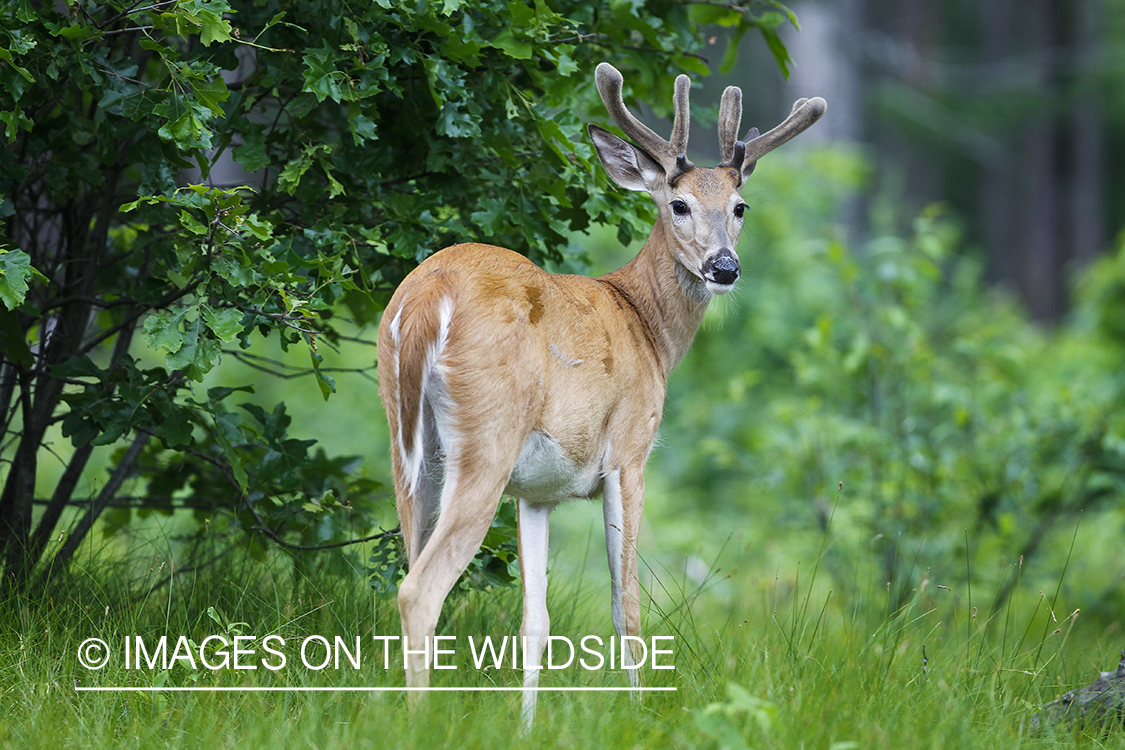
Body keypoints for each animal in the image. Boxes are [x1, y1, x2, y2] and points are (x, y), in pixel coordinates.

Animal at [373, 61, 823, 724]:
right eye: (679, 204)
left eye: (740, 206)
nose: (725, 267)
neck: (645, 325)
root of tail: (427, 300)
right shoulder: (630, 452)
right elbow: (627, 607)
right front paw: (639, 716)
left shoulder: (536, 491)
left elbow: (535, 621)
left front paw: (527, 726)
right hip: (487, 434)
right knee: (419, 590)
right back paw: (420, 722)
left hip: (408, 446)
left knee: (409, 563)